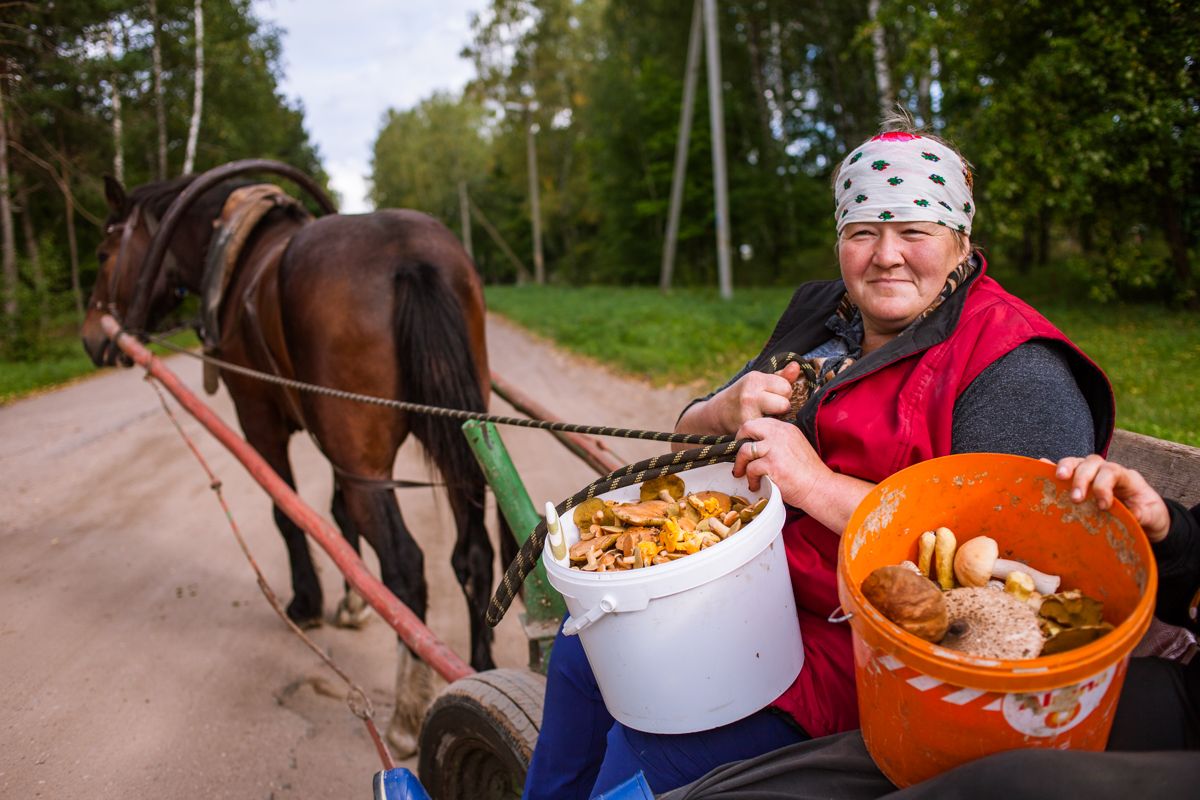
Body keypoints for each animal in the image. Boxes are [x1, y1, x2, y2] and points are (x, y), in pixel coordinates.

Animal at [78, 173, 511, 758]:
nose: (92, 336)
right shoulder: (333, 437)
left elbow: (288, 513)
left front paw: (307, 600)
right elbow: (335, 513)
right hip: (457, 433)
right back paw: (480, 669)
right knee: (473, 554)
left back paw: (405, 712)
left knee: (405, 564)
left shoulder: (258, 418)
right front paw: (351, 603)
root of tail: (409, 256)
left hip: (366, 459)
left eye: (103, 253)